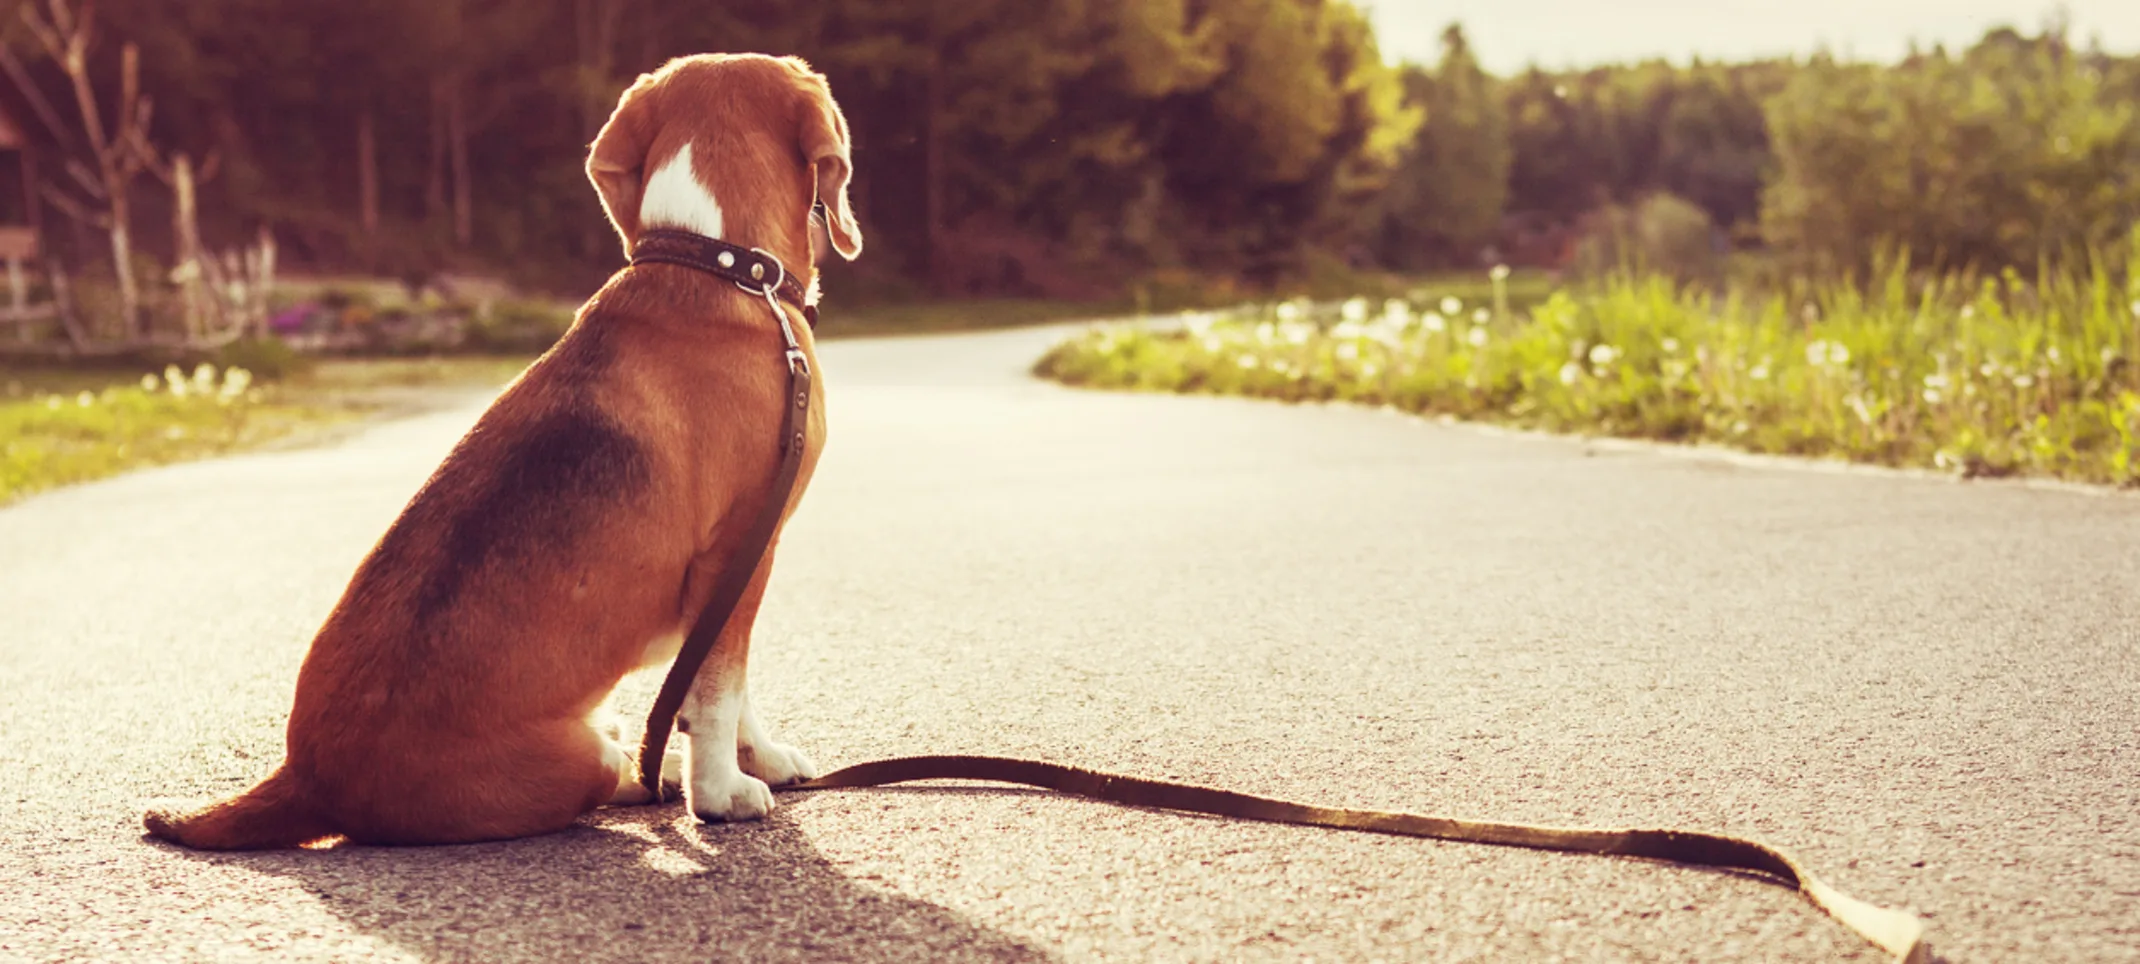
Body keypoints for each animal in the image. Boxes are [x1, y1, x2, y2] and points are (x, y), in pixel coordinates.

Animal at [142, 54, 864, 852]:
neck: (714, 263)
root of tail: (304, 776)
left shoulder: (738, 569)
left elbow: (730, 687)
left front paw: (759, 759)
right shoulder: (741, 550)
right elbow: (719, 688)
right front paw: (721, 792)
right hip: (571, 759)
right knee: (606, 770)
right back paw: (652, 773)